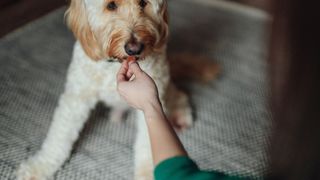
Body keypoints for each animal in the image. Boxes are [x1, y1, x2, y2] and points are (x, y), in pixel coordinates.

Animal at [16, 0, 192, 179]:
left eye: (143, 3)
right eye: (111, 5)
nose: (134, 48)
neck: (115, 64)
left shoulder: (150, 101)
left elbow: (148, 143)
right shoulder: (76, 96)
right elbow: (59, 134)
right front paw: (40, 166)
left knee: (176, 93)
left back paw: (180, 113)